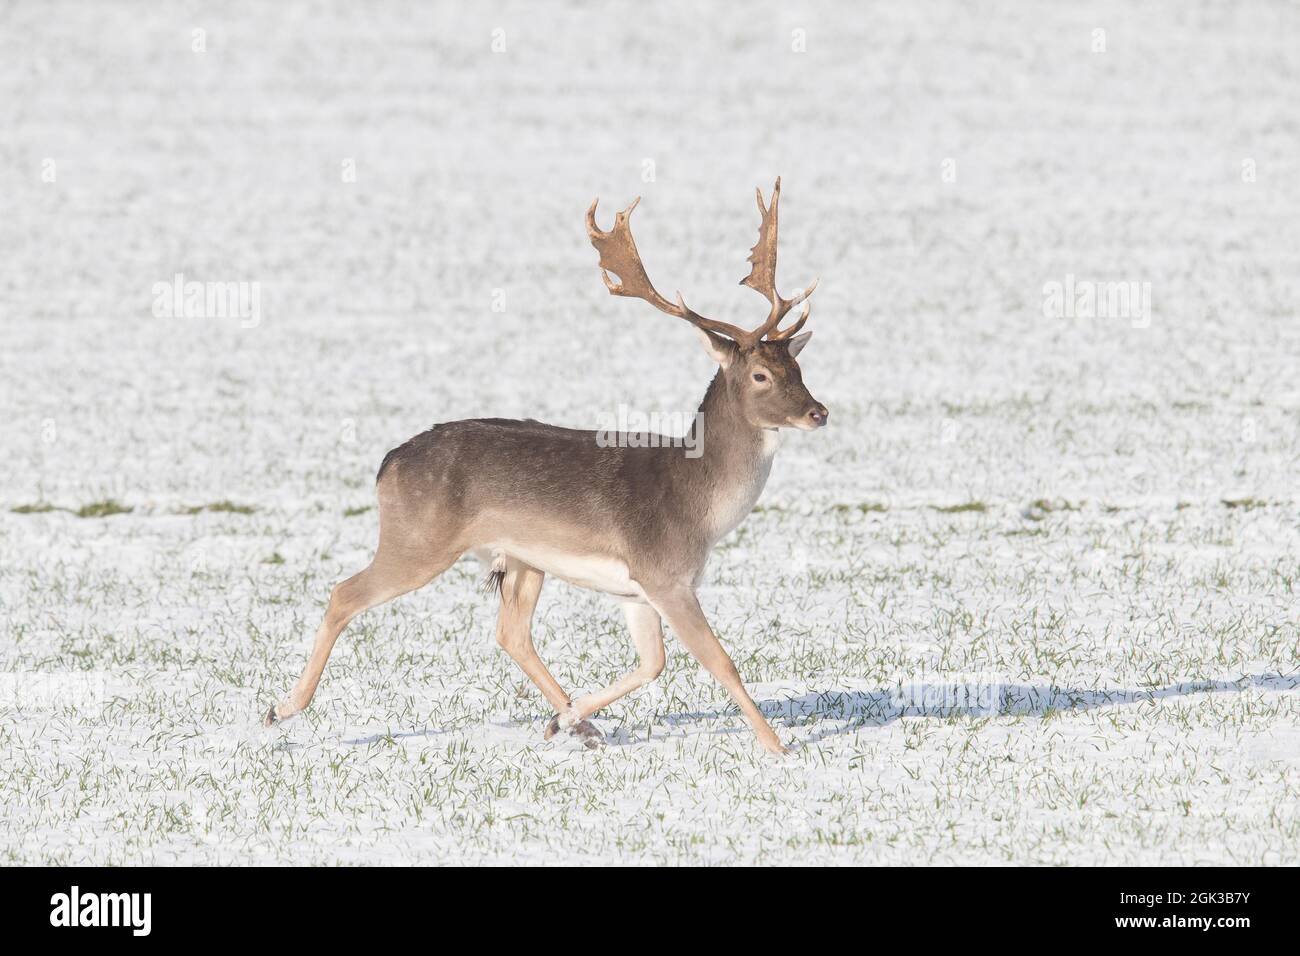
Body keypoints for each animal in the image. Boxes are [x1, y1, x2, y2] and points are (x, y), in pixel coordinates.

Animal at [263, 178, 827, 754]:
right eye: (760, 375)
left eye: (798, 367)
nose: (818, 412)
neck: (700, 507)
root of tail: (386, 464)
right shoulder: (666, 573)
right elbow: (721, 662)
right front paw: (779, 748)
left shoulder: (638, 588)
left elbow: (653, 663)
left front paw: (567, 718)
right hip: (417, 540)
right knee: (344, 593)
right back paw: (280, 709)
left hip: (521, 557)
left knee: (511, 632)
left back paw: (578, 725)